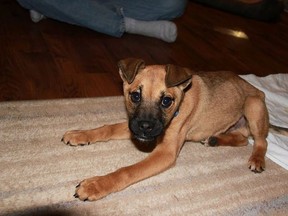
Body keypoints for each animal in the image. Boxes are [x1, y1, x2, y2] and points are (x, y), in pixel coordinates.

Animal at [62, 57, 270, 201]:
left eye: (166, 101)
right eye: (135, 96)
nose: (145, 127)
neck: (180, 104)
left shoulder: (165, 152)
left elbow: (127, 170)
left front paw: (96, 185)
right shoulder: (133, 125)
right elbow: (108, 129)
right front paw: (80, 134)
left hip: (252, 105)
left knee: (261, 141)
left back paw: (257, 159)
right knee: (243, 139)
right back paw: (214, 139)